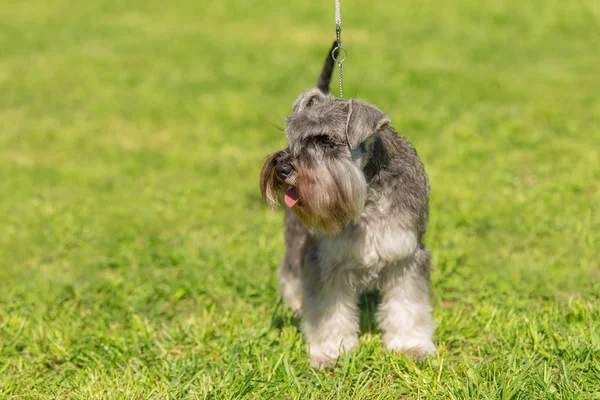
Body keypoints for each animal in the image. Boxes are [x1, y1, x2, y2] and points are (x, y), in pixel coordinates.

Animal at [258, 43, 436, 368]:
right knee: (290, 272)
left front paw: (411, 346)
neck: (366, 197)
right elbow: (329, 312)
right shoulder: (325, 260)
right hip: (296, 240)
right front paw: (330, 351)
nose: (282, 167)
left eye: (326, 141)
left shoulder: (406, 258)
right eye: (292, 137)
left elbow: (408, 306)